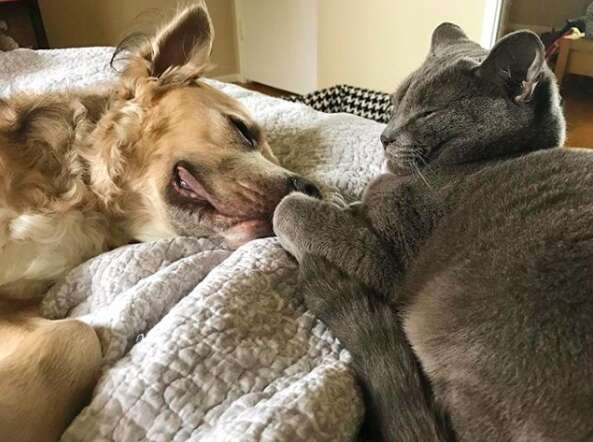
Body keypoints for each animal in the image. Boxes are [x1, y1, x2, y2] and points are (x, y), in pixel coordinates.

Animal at [272, 24, 592, 442]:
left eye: (428, 112)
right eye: (395, 102)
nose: (385, 136)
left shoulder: (383, 258)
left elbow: (288, 210)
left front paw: (295, 201)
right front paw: (327, 192)